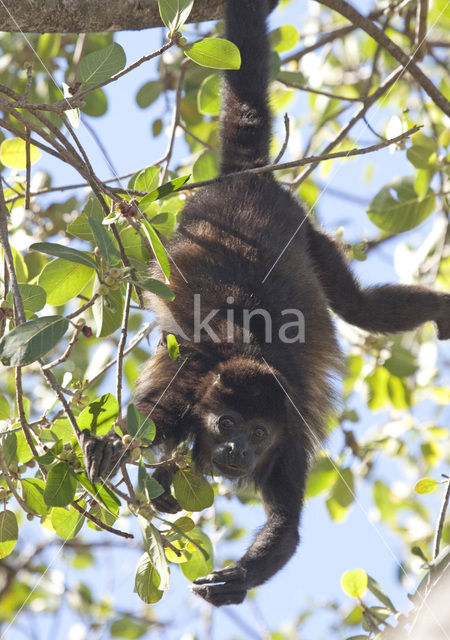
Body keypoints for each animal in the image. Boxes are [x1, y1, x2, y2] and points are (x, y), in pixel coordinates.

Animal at [83, 0, 450, 608]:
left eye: (257, 433)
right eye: (228, 423)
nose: (236, 450)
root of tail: (248, 181)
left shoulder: (289, 439)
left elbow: (287, 524)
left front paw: (236, 579)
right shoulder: (183, 394)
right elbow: (149, 425)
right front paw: (111, 446)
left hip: (309, 233)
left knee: (359, 308)